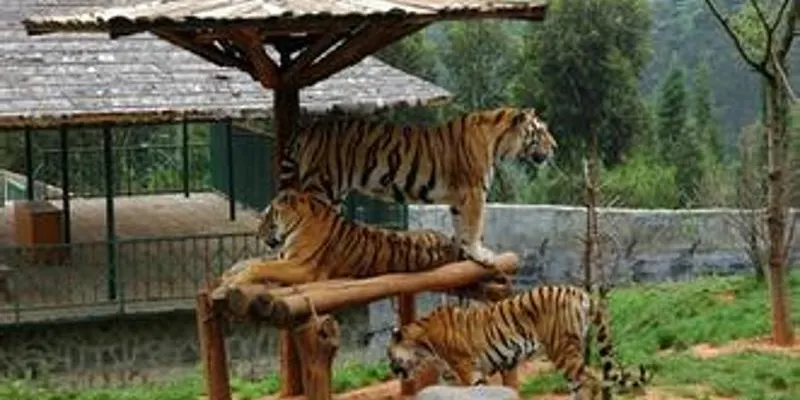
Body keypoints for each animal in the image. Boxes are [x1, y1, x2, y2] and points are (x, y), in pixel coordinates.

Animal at [218, 189, 463, 289]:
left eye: (268, 215)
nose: (257, 234)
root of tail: (450, 241)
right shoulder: (283, 256)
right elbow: (254, 261)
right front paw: (228, 273)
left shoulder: (301, 267)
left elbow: (259, 267)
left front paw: (233, 281)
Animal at [277, 107, 557, 273]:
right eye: (541, 131)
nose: (555, 147)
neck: (498, 144)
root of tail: (307, 128)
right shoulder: (474, 191)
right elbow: (475, 225)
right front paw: (481, 254)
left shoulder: (460, 198)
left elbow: (461, 226)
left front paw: (464, 253)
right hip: (322, 185)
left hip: (333, 192)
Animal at [386, 285, 650, 399]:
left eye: (389, 355)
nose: (392, 369)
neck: (425, 344)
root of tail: (581, 292)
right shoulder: (454, 375)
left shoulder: (467, 369)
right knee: (586, 382)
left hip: (562, 350)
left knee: (590, 380)